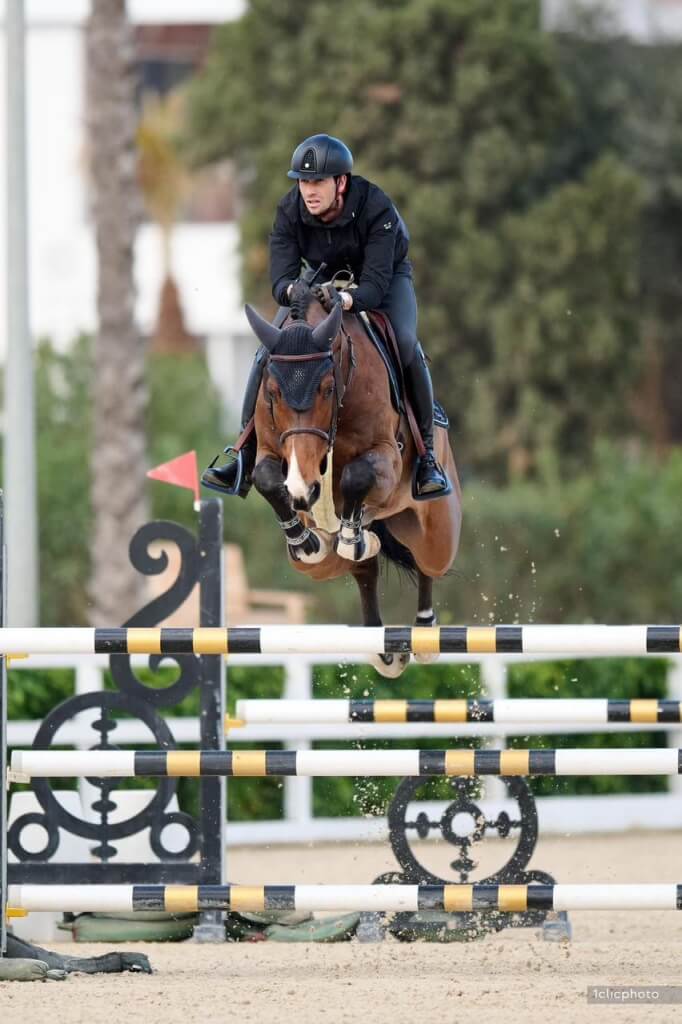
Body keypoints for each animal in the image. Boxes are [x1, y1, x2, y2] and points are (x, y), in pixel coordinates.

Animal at [244, 282, 462, 677]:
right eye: (272, 393)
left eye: (327, 388)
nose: (303, 490)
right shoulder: (270, 449)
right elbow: (266, 478)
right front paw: (305, 540)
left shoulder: (388, 457)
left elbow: (356, 475)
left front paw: (352, 536)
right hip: (321, 568)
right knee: (361, 569)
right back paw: (381, 643)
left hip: (436, 533)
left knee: (426, 563)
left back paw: (423, 631)